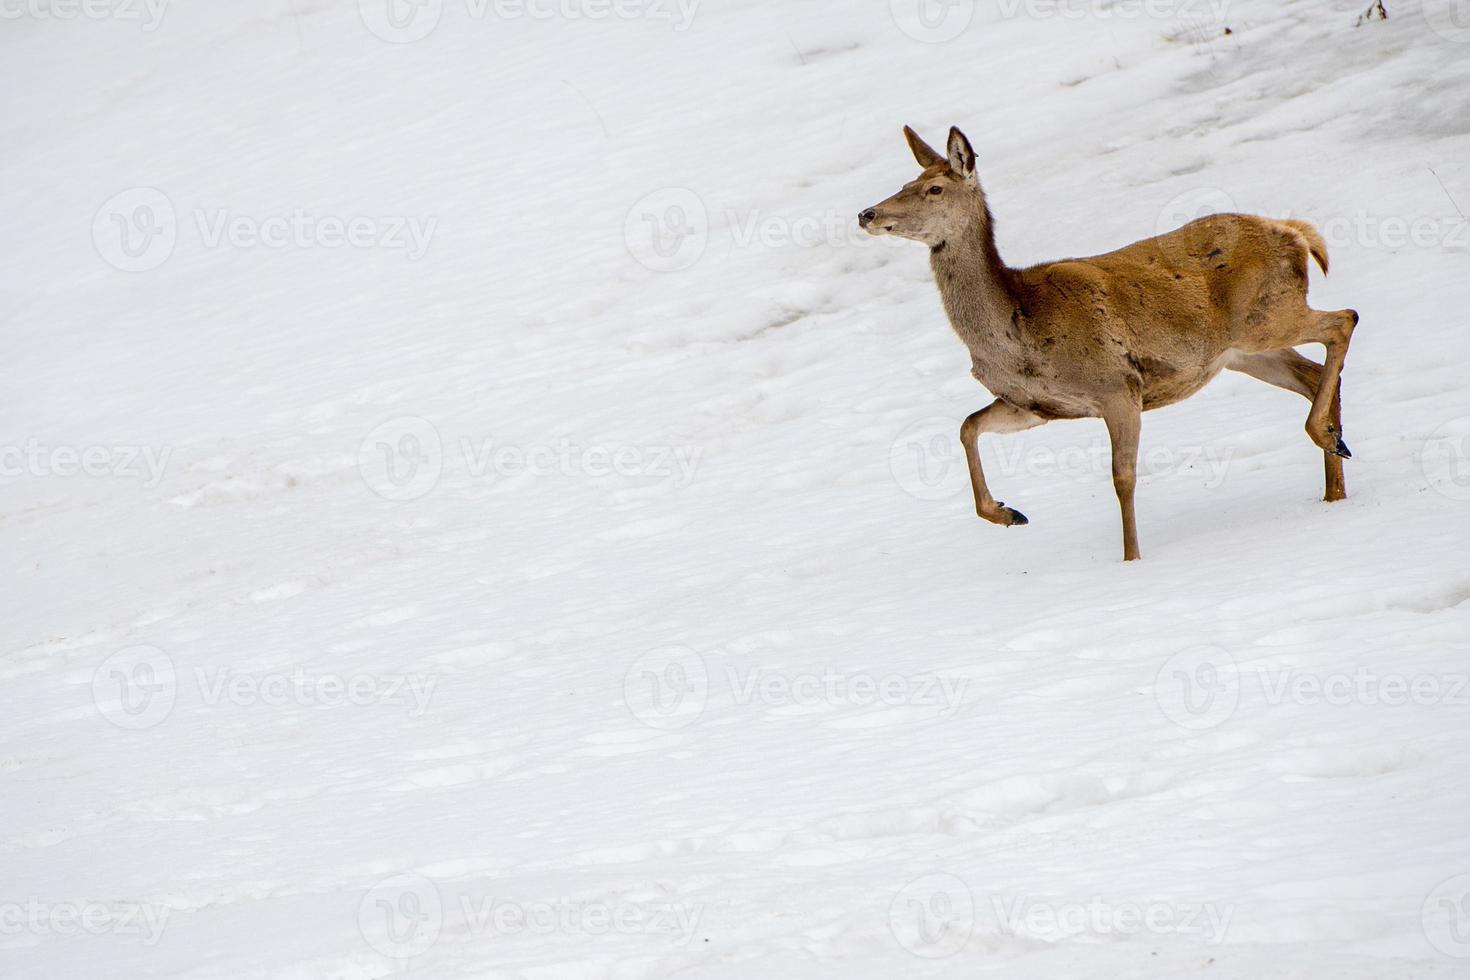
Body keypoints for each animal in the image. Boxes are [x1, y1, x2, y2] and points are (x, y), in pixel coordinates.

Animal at [858, 126, 1358, 564]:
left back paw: (1326, 439)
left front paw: (1130, 560)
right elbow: (967, 426)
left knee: (1343, 321)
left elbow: (1123, 478)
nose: (867, 214)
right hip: (1245, 352)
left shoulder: (1118, 386)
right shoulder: (1036, 404)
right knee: (1314, 373)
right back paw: (1335, 480)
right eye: (905, 182)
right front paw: (1008, 513)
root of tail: (1294, 232)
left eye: (934, 189)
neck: (1017, 331)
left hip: (1268, 316)